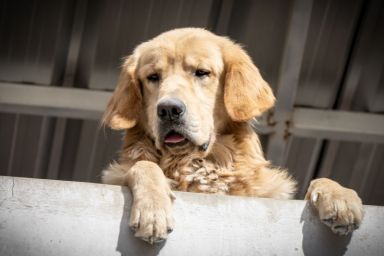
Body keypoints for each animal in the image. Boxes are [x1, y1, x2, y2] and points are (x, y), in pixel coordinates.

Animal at [101, 28, 364, 244]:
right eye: (153, 77)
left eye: (202, 73)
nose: (168, 109)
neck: (198, 164)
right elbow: (144, 165)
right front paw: (153, 208)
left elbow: (319, 181)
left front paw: (340, 196)